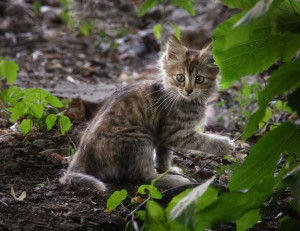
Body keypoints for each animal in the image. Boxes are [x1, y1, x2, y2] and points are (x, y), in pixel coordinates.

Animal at [59, 35, 236, 190]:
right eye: (180, 78)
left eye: (199, 79)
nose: (188, 90)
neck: (187, 100)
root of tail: (82, 152)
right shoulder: (174, 132)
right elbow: (201, 140)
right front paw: (224, 144)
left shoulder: (163, 137)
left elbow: (164, 156)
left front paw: (167, 169)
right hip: (139, 137)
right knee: (143, 177)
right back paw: (177, 181)